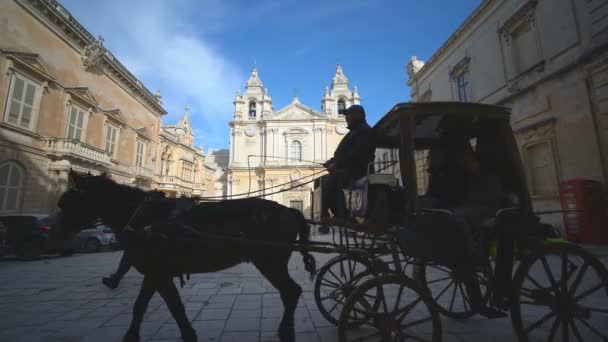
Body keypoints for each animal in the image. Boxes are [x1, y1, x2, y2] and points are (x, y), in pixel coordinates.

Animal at [55, 171, 318, 342]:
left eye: (67, 201)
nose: (56, 231)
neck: (143, 214)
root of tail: (290, 210)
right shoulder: (155, 273)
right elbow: (148, 306)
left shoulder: (159, 273)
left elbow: (169, 307)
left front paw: (186, 335)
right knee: (289, 292)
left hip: (270, 262)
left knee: (291, 291)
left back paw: (286, 331)